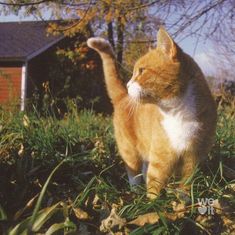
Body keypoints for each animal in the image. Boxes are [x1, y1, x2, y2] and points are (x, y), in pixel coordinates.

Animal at [86, 28, 217, 199]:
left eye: (141, 71)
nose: (128, 85)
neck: (179, 113)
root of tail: (123, 97)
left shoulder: (193, 158)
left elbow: (186, 184)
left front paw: (184, 202)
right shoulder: (160, 159)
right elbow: (154, 182)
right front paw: (152, 202)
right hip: (129, 150)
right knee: (134, 172)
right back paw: (136, 191)